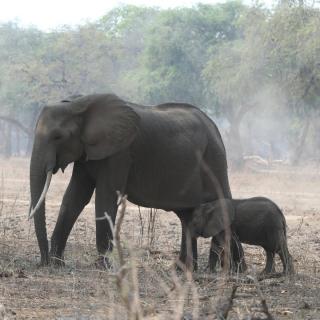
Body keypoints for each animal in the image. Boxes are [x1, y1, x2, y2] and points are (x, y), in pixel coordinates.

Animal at [28, 94, 231, 266]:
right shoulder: (86, 153)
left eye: (57, 136)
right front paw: (57, 264)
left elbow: (105, 197)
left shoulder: (120, 153)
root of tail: (214, 127)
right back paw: (185, 269)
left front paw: (102, 266)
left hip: (214, 159)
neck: (79, 104)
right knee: (187, 215)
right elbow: (75, 197)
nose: (43, 262)